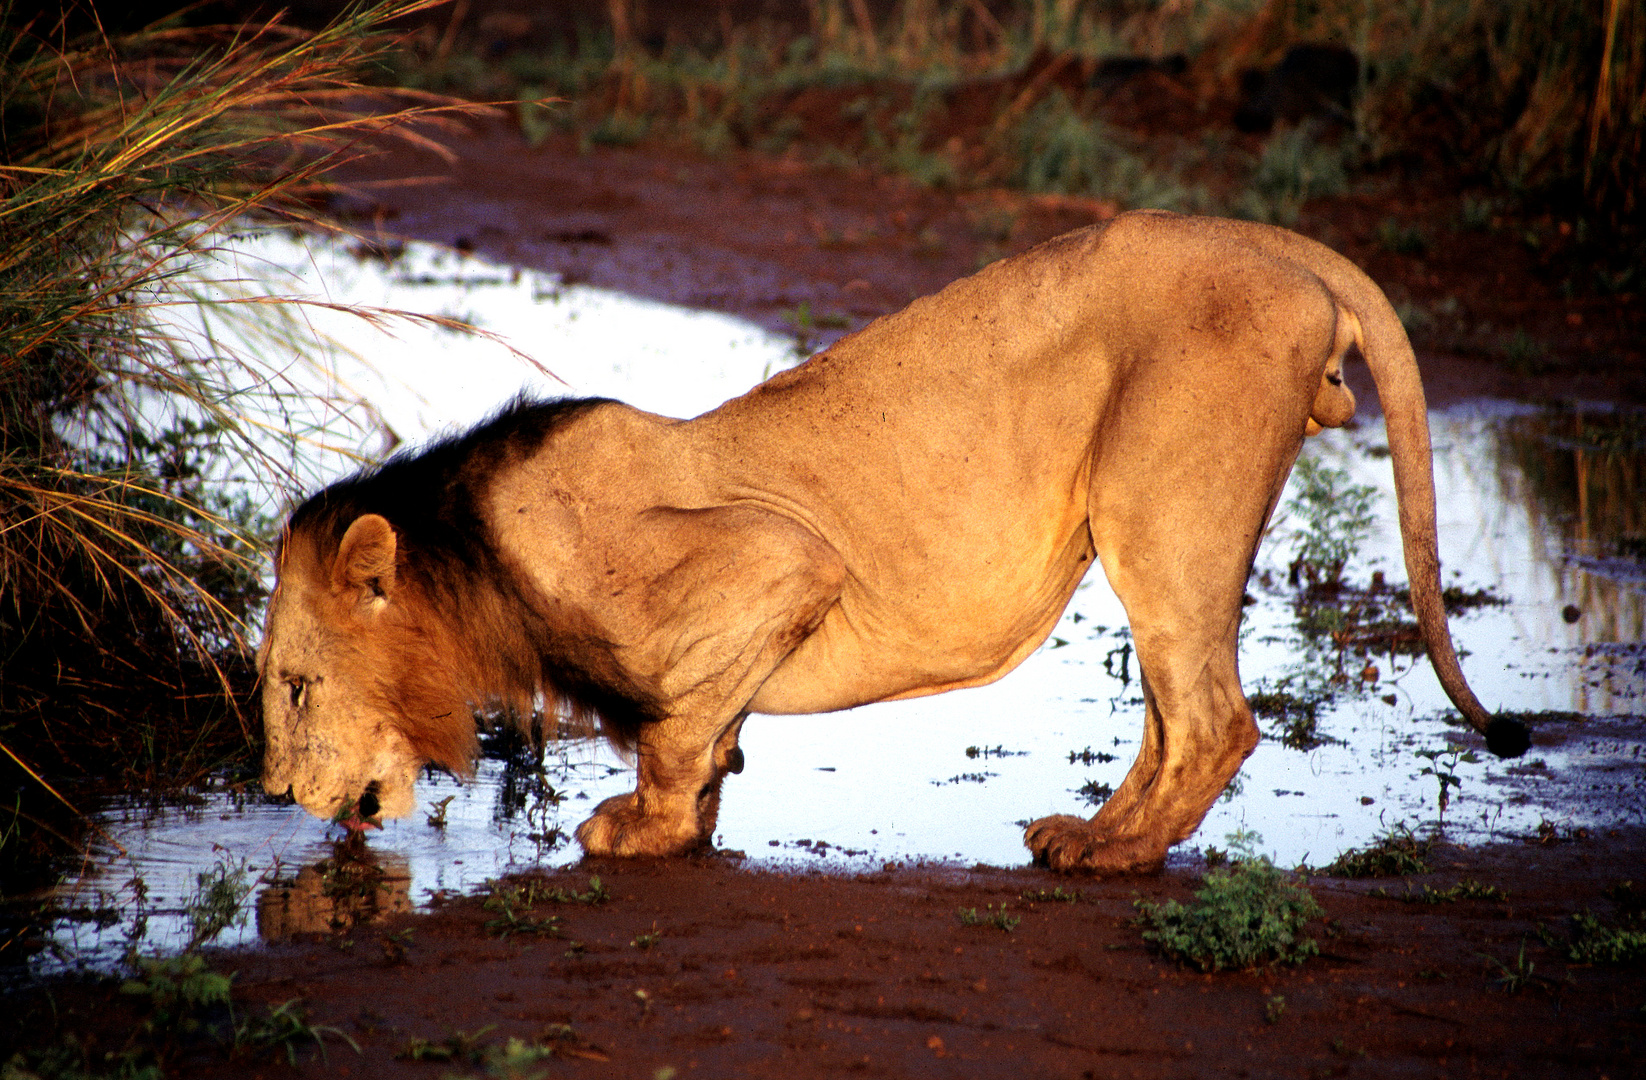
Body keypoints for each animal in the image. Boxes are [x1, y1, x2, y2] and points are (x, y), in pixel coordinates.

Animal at [260, 212, 1527, 875]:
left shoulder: (778, 562)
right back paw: (1087, 832)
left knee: (1216, 721)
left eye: (292, 686)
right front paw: (700, 806)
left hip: (1159, 514)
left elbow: (669, 729)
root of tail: (1275, 245)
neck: (469, 554)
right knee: (1174, 718)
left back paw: (1113, 857)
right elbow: (705, 726)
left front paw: (647, 826)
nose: (273, 793)